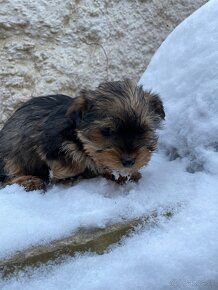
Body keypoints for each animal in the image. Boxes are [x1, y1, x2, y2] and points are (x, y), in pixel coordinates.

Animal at [0, 79, 164, 191]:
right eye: (107, 131)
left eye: (142, 130)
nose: (129, 161)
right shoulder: (49, 142)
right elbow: (70, 162)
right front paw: (68, 175)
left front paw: (128, 174)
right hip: (10, 158)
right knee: (7, 178)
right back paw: (30, 181)